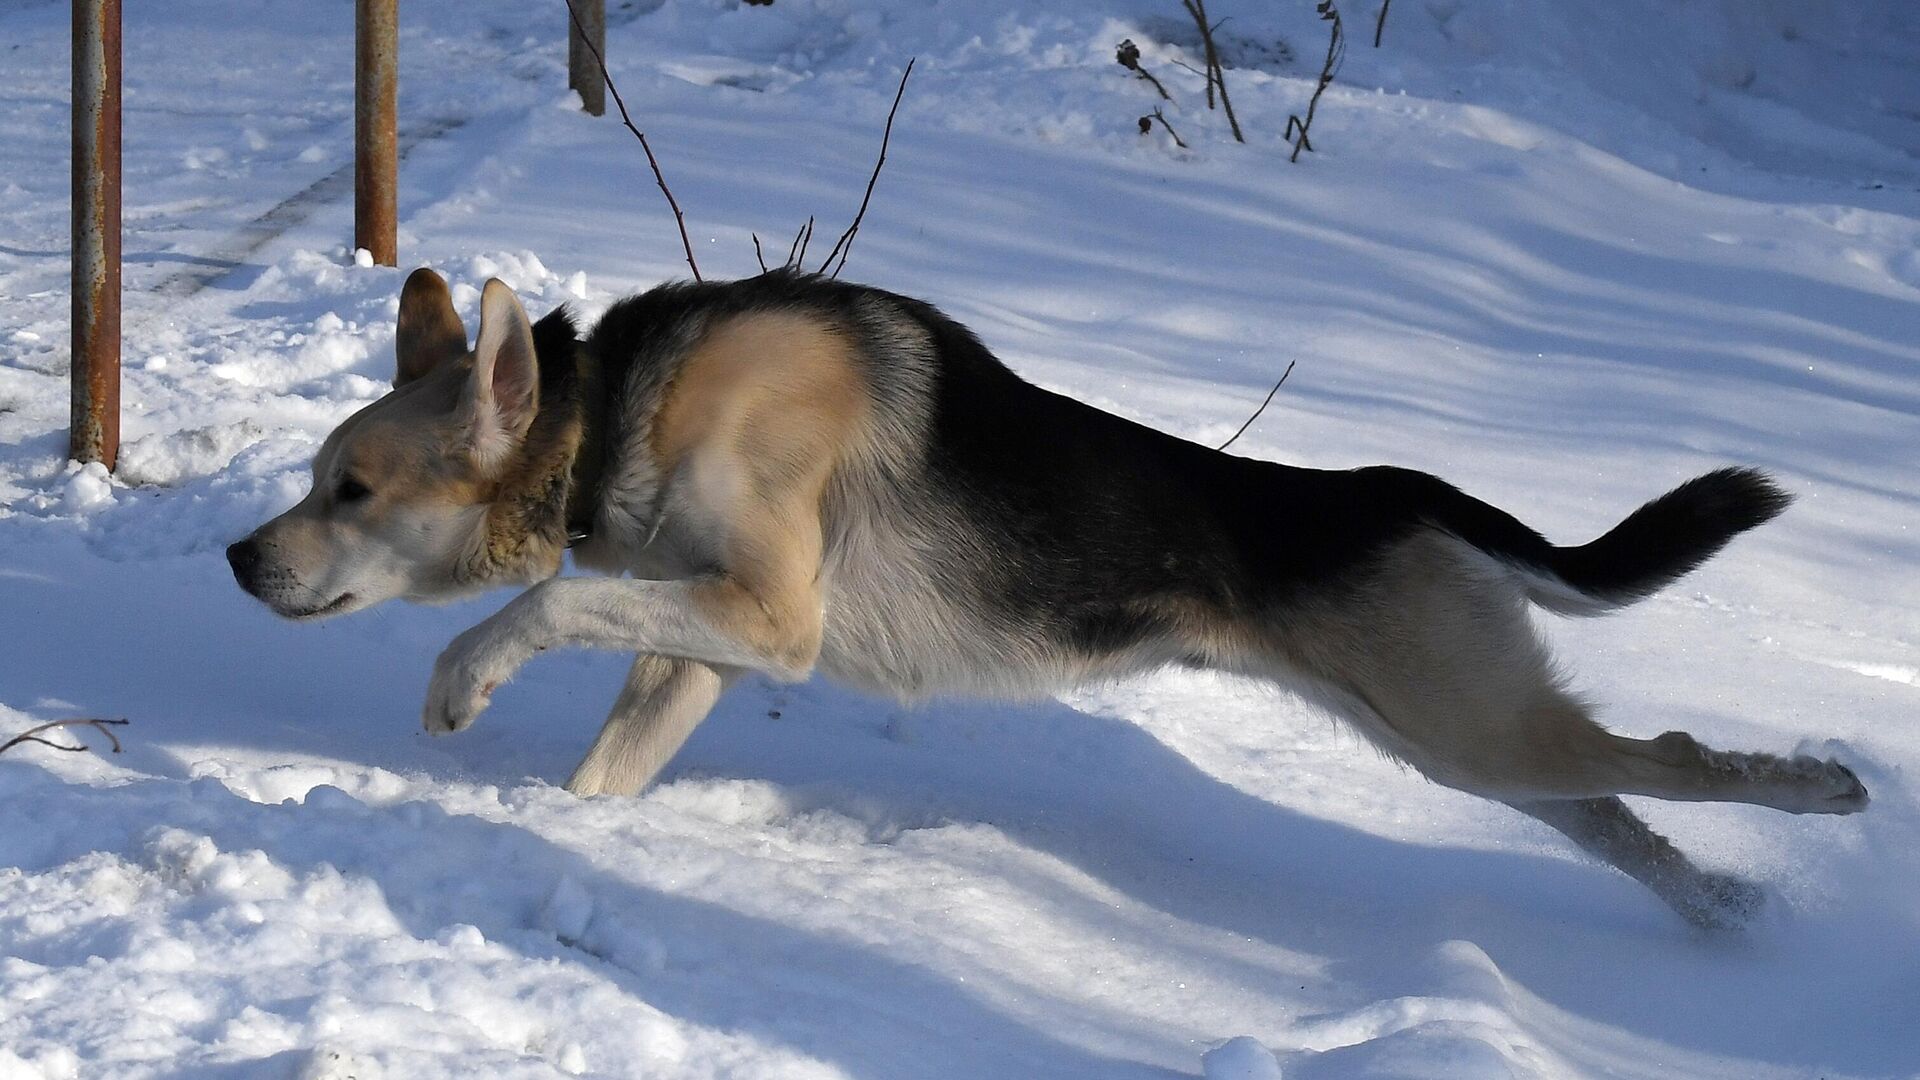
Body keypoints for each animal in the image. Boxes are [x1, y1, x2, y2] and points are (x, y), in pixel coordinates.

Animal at [224, 265, 1858, 922]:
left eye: (350, 491)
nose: (239, 559)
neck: (623, 401)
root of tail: (1401, 490)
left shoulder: (769, 623)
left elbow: (543, 609)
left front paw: (460, 683)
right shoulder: (700, 646)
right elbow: (605, 758)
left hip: (1474, 732)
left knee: (1684, 761)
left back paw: (1820, 790)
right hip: (1481, 741)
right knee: (1628, 811)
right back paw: (1729, 916)